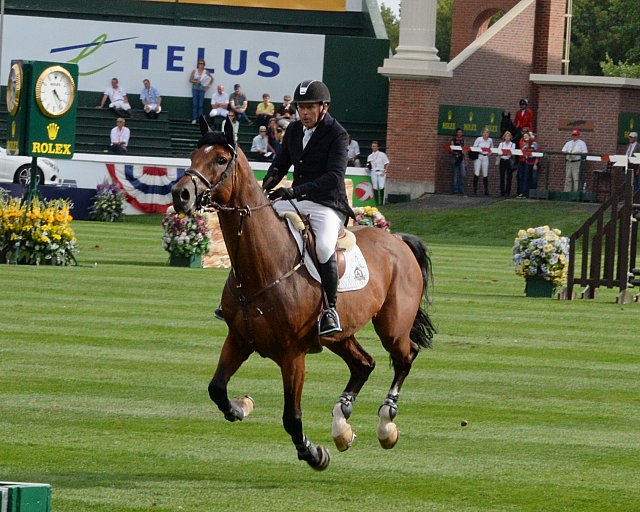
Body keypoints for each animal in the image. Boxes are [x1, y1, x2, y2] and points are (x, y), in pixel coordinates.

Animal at [170, 118, 436, 470]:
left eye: (220, 160)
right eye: (193, 154)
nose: (181, 194)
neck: (263, 266)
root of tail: (399, 241)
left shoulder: (292, 356)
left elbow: (292, 417)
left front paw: (313, 453)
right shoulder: (239, 339)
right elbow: (217, 389)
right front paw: (242, 406)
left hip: (391, 326)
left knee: (405, 356)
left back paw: (385, 423)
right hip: (339, 335)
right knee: (364, 364)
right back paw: (342, 424)